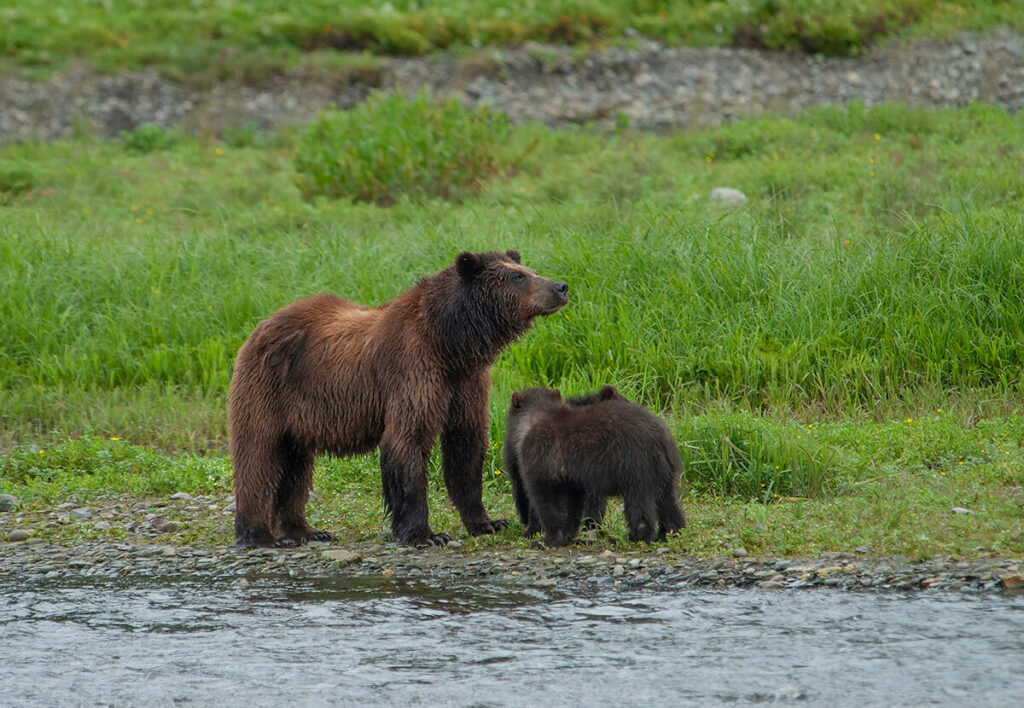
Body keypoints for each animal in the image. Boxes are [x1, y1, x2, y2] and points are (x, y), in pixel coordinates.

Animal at [229, 250, 568, 548]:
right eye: (517, 276)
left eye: (530, 270)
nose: (561, 286)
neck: (451, 343)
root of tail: (260, 326)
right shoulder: (413, 369)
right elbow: (408, 441)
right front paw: (425, 534)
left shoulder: (466, 384)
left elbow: (466, 448)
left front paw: (488, 522)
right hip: (268, 389)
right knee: (258, 456)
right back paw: (261, 536)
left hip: (298, 417)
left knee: (296, 468)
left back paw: (306, 530)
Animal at [503, 386, 686, 547]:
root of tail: (661, 434)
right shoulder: (570, 477)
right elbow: (572, 503)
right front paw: (567, 533)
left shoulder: (541, 460)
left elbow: (546, 500)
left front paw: (544, 539)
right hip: (664, 470)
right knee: (668, 500)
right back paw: (669, 532)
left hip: (634, 465)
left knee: (639, 504)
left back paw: (632, 537)